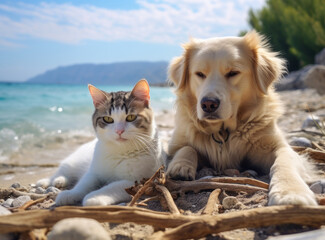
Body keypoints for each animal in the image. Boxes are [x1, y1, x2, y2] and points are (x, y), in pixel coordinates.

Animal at [167, 31, 316, 205]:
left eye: (233, 73)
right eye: (200, 74)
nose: (208, 104)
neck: (222, 132)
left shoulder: (280, 147)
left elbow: (284, 162)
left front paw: (291, 192)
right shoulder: (176, 143)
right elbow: (187, 148)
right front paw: (180, 166)